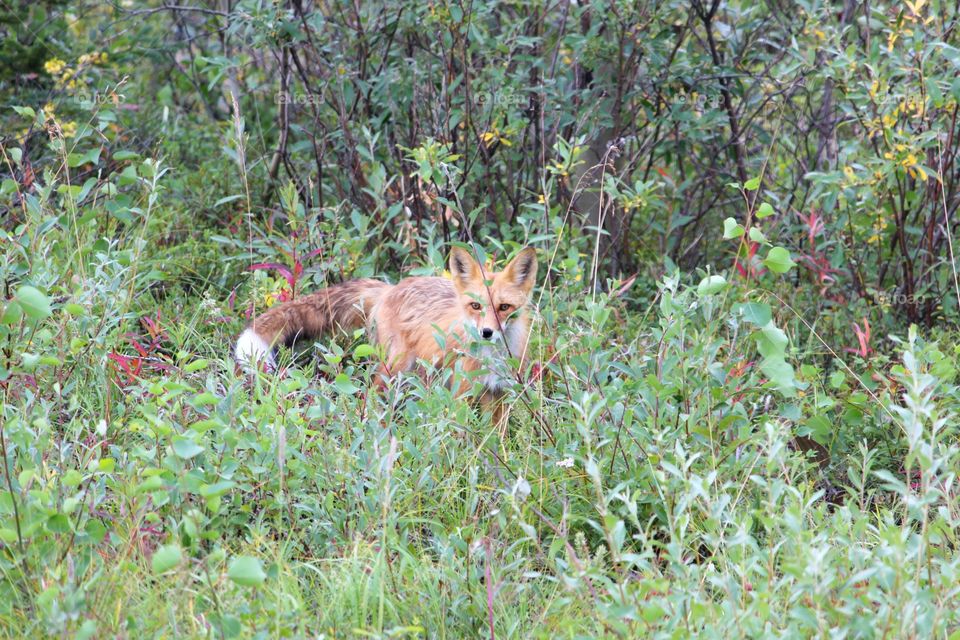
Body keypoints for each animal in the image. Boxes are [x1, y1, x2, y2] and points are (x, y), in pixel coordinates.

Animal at [235, 246, 538, 426]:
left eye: (504, 307)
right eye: (476, 306)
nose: (486, 332)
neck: (492, 358)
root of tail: (391, 287)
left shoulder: (499, 394)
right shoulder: (461, 393)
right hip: (396, 369)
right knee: (370, 398)